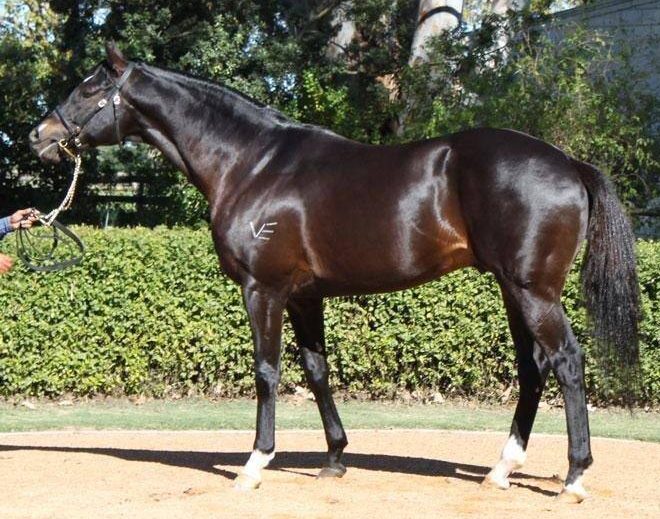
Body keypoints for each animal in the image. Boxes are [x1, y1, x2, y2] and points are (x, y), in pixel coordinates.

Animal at [29, 45, 640, 504]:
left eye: (89, 89)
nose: (39, 136)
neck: (251, 162)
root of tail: (567, 162)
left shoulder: (264, 289)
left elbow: (268, 371)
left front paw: (255, 463)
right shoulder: (305, 296)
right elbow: (317, 371)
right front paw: (335, 458)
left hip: (533, 291)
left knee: (567, 362)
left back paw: (574, 476)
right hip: (512, 289)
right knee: (533, 369)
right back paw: (500, 470)